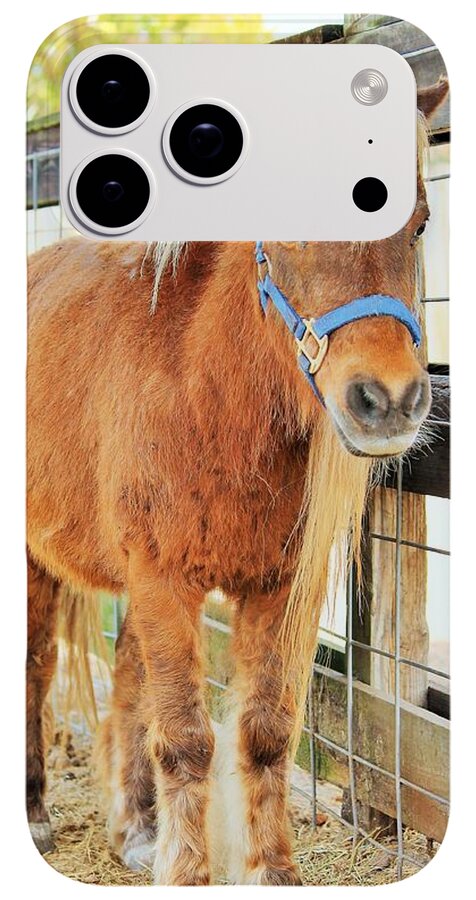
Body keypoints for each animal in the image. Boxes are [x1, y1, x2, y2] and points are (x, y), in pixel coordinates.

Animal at [26, 79, 448, 885]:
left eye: (420, 224)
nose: (388, 400)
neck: (206, 393)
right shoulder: (163, 578)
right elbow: (187, 739)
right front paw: (189, 874)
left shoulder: (277, 588)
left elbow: (264, 733)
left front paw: (270, 872)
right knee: (36, 667)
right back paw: (35, 811)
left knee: (127, 679)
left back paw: (135, 828)